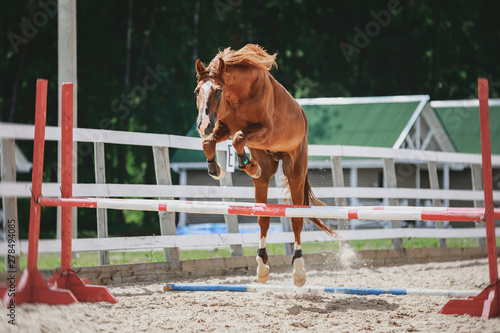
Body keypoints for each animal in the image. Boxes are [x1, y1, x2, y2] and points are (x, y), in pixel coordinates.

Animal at [195, 44, 336, 286]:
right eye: (197, 92)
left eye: (218, 91)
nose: (202, 125)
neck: (238, 96)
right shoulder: (223, 127)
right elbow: (210, 142)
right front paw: (216, 169)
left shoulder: (264, 131)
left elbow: (239, 138)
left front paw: (247, 165)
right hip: (264, 174)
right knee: (263, 218)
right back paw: (261, 267)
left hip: (295, 171)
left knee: (296, 220)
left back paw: (298, 271)